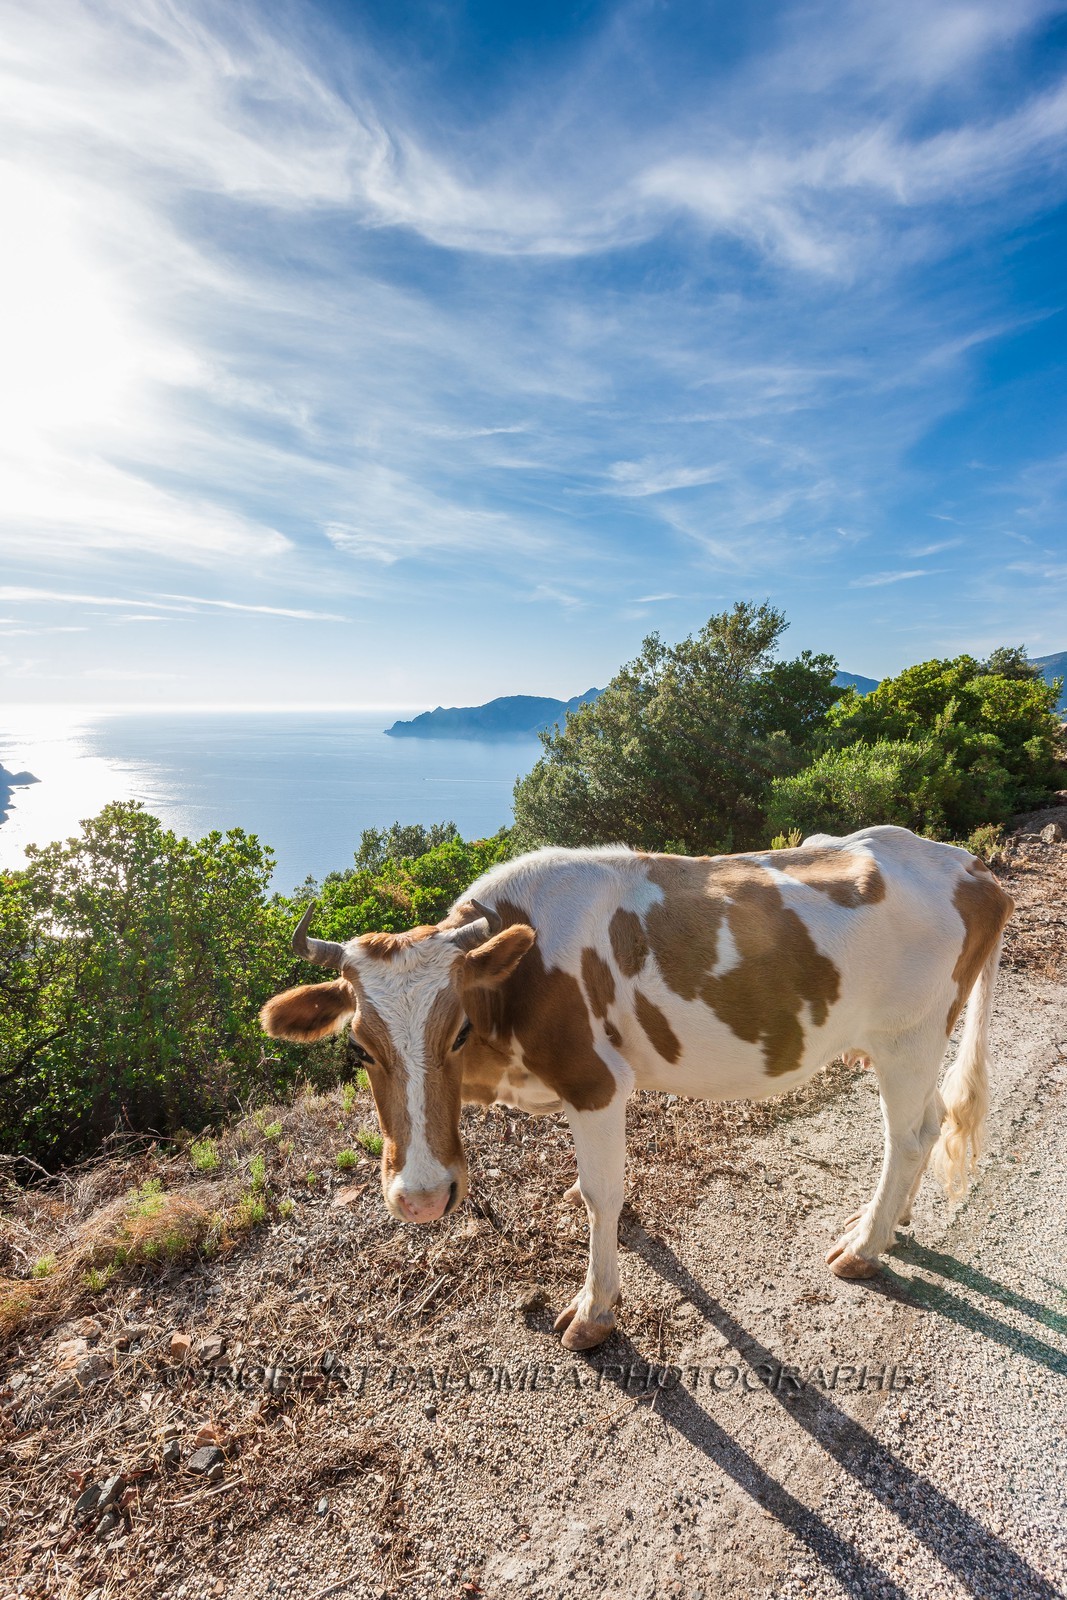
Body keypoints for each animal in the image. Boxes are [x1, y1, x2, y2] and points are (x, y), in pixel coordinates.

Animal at [260, 826, 1012, 1351]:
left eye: (459, 1032)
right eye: (358, 1048)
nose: (419, 1198)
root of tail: (964, 864)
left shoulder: (595, 1082)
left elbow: (602, 1196)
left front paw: (594, 1310)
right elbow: (591, 1191)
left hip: (906, 1034)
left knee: (908, 1134)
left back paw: (862, 1247)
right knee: (930, 1119)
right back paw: (892, 1223)